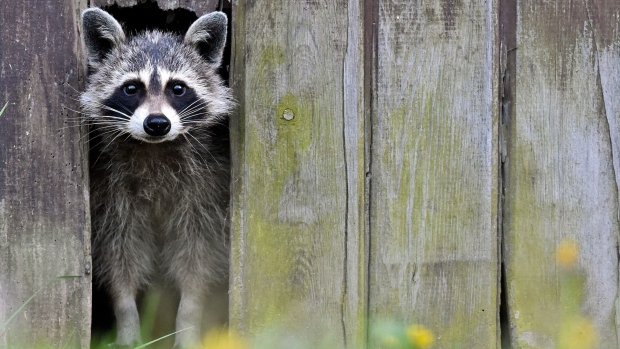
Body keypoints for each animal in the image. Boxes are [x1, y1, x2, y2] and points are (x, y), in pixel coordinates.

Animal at [80, 8, 230, 348]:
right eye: (131, 88)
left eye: (178, 88)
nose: (157, 123)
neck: (154, 148)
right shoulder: (111, 196)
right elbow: (119, 256)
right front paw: (126, 317)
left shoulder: (205, 192)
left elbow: (197, 257)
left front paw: (188, 318)